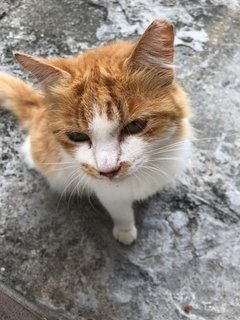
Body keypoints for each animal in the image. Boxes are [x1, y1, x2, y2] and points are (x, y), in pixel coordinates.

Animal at [0, 19, 191, 245]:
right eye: (77, 136)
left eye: (135, 125)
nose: (108, 171)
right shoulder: (108, 193)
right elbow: (121, 212)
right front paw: (125, 231)